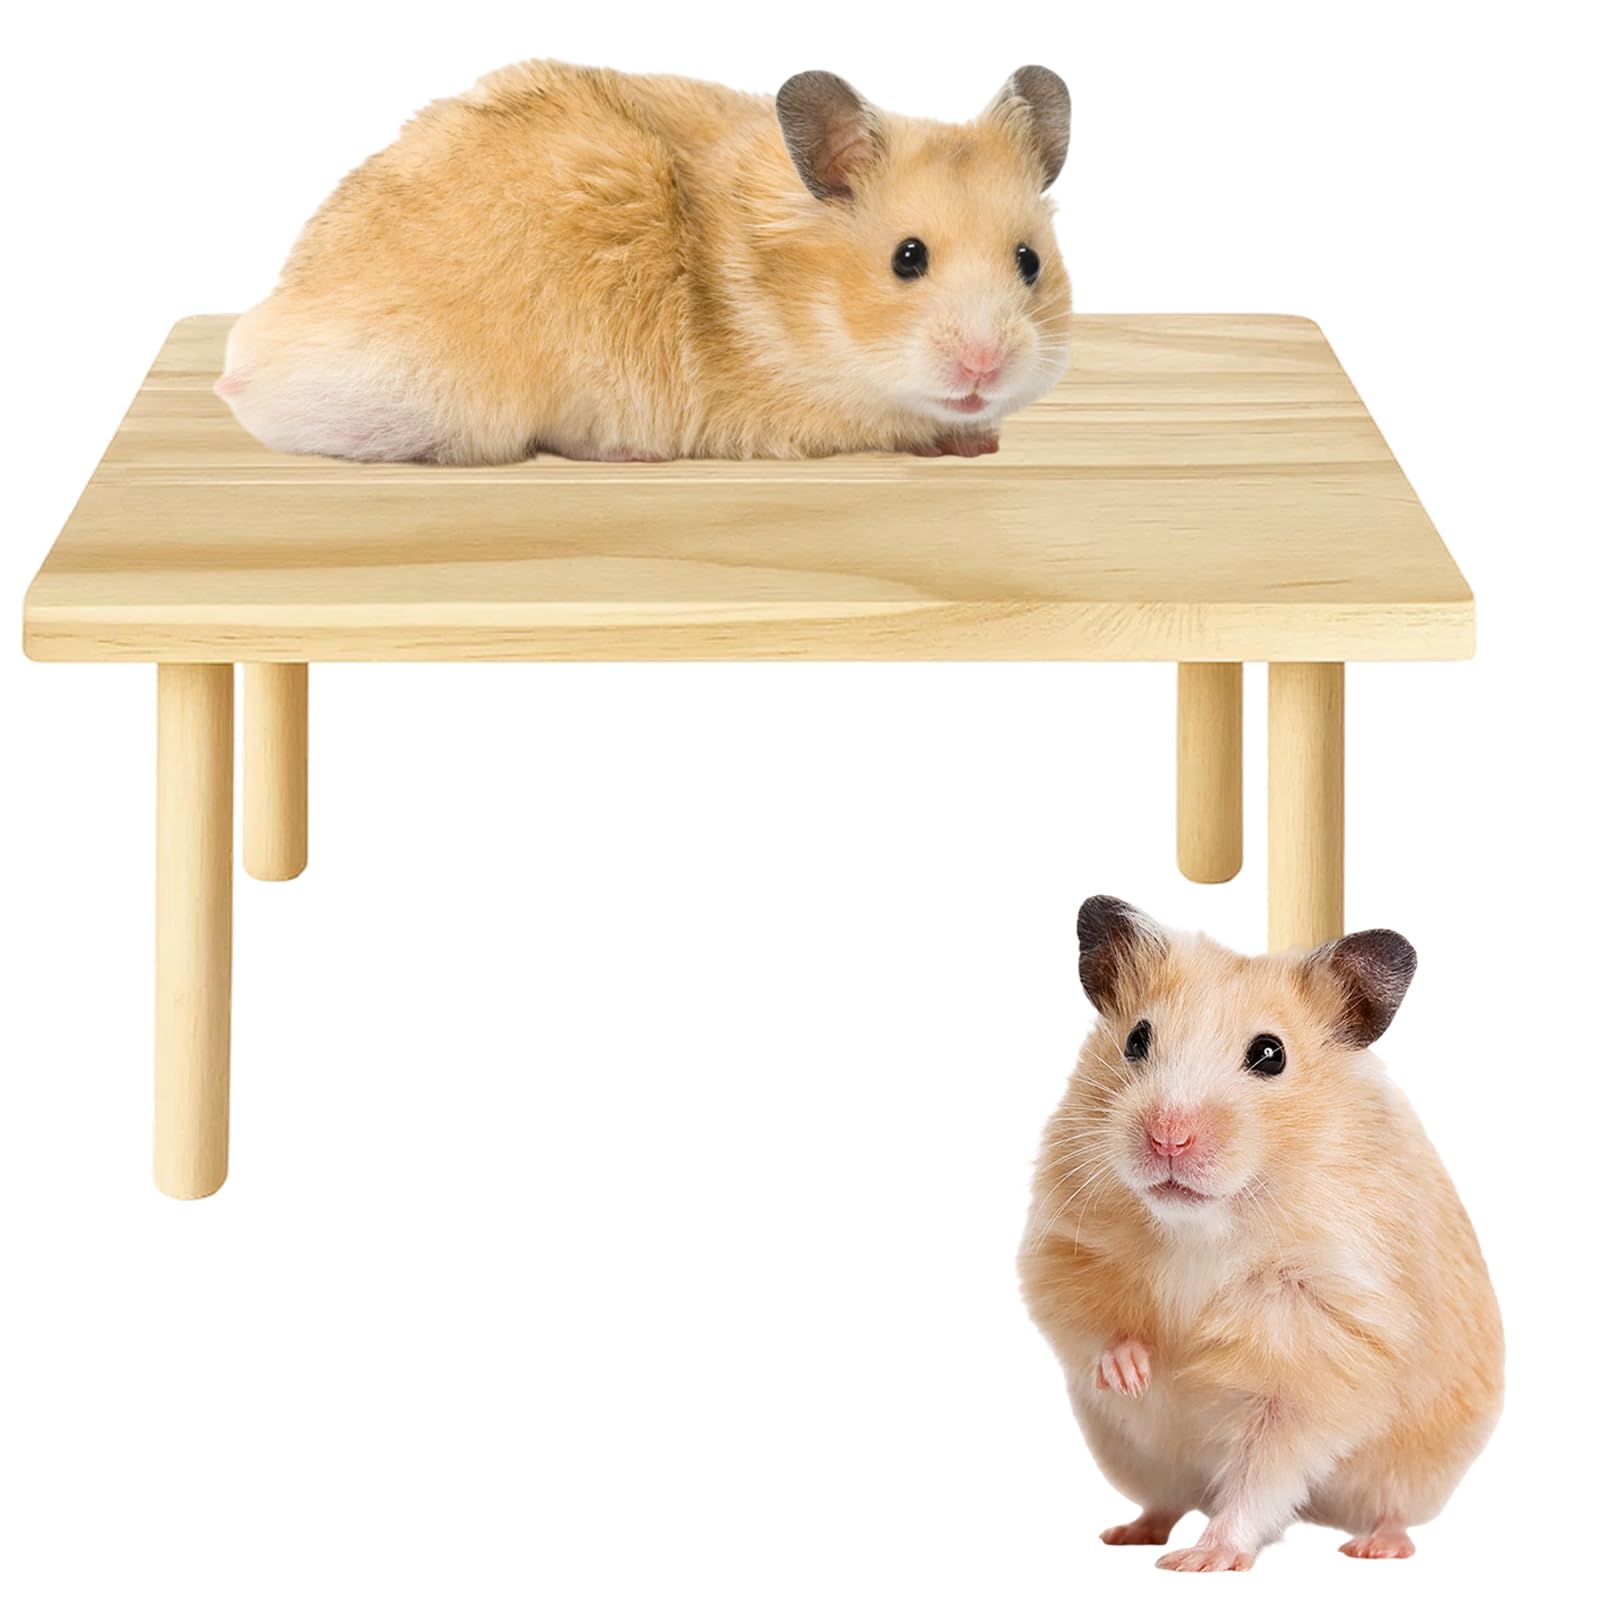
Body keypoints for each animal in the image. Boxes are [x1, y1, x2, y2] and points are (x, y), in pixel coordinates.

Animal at [214, 60, 1073, 464]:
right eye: (907, 258)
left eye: (1029, 261)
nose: (986, 367)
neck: (800, 303)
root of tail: (259, 361)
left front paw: (982, 439)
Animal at [1019, 897, 1502, 1572]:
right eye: (1137, 1039)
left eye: (1271, 1054)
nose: (1168, 1138)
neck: (1202, 1226)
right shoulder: (1063, 1244)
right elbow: (1090, 1323)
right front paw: (1134, 1373)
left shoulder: (1318, 1349)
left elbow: (1262, 1470)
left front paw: (1203, 1561)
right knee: (1167, 1500)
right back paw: (1128, 1534)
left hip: (1416, 1468)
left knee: (1390, 1509)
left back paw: (1374, 1548)